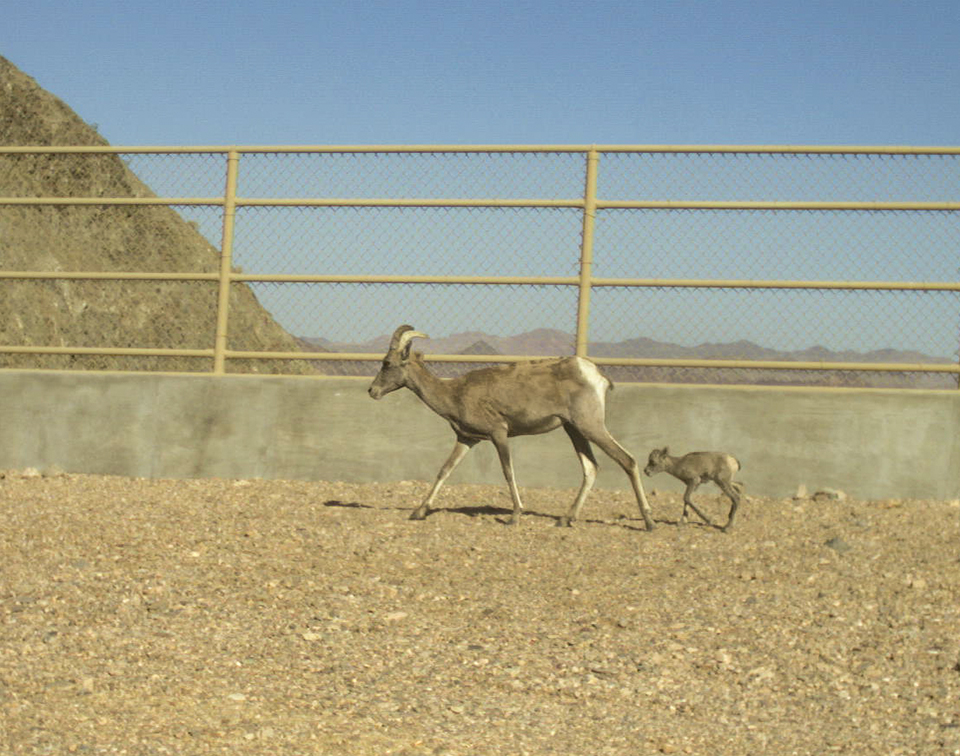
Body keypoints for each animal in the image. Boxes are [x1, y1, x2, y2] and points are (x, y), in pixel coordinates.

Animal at [367, 324, 656, 530]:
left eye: (387, 363)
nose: (372, 391)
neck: (455, 393)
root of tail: (595, 374)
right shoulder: (467, 440)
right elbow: (444, 471)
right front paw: (418, 512)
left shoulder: (499, 433)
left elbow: (508, 472)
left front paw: (515, 516)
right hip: (574, 430)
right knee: (590, 468)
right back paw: (565, 519)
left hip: (591, 426)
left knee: (627, 460)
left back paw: (649, 522)